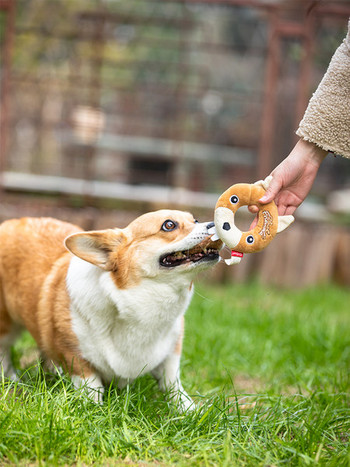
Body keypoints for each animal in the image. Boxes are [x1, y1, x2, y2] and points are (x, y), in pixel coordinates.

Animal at [0, 210, 221, 412]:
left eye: (195, 220)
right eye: (169, 225)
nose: (216, 224)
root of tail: (10, 223)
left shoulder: (171, 353)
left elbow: (172, 383)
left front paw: (189, 409)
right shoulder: (76, 357)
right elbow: (92, 386)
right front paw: (94, 410)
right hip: (6, 325)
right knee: (4, 351)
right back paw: (12, 379)